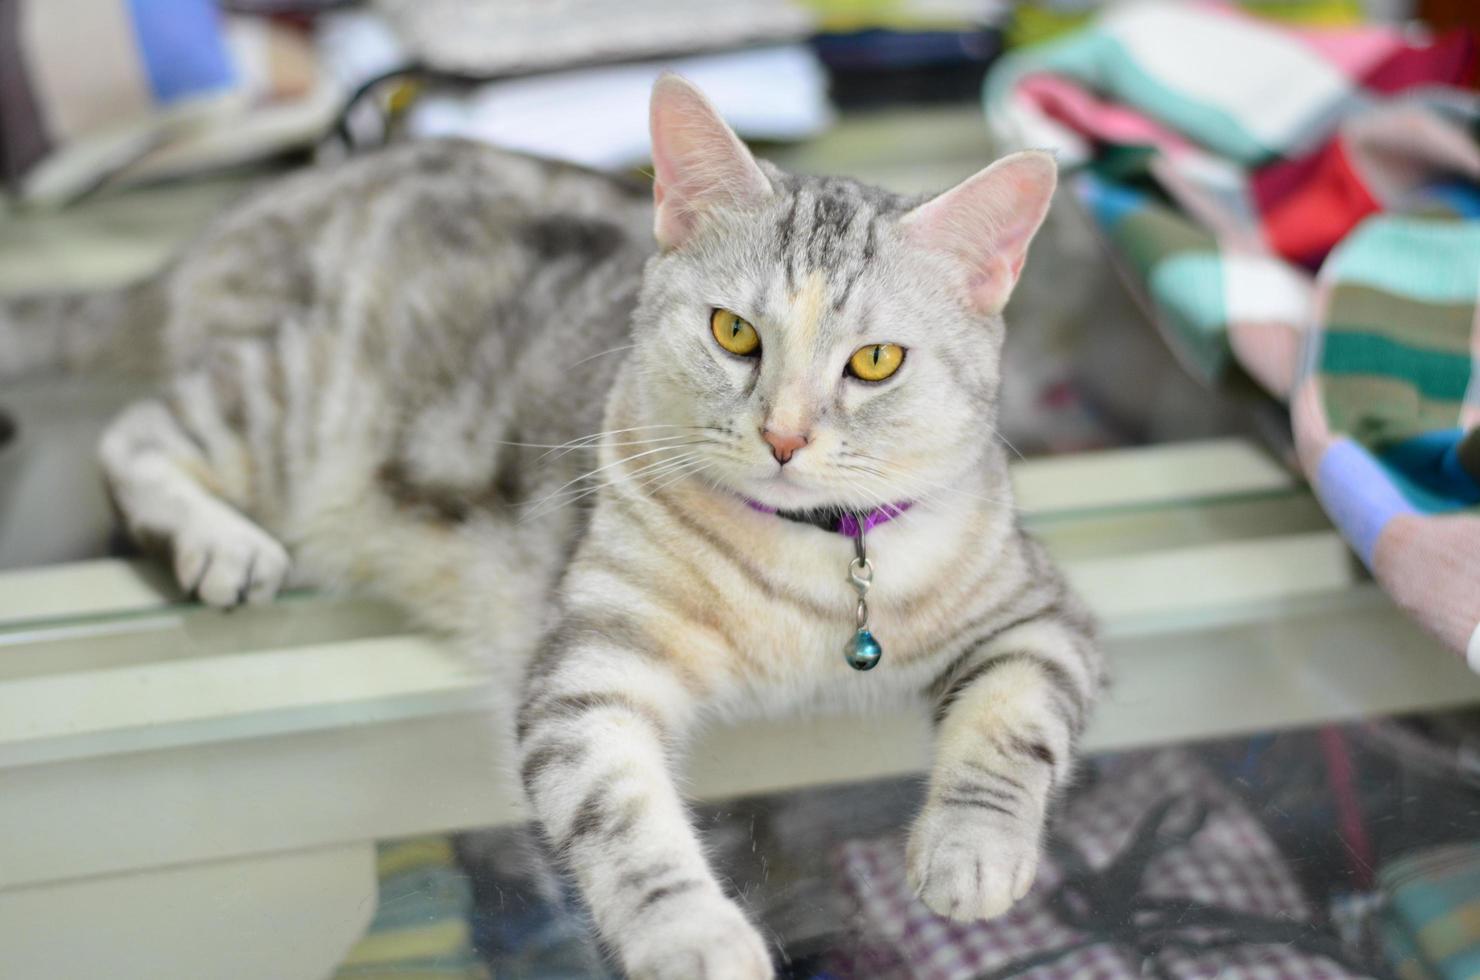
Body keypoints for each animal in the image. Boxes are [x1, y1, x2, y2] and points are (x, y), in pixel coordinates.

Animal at [0, 72, 1101, 977]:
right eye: (733, 332)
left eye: (875, 361)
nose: (784, 435)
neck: (804, 562)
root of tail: (225, 228)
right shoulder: (590, 671)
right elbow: (628, 827)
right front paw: (694, 936)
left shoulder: (1042, 616)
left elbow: (1010, 729)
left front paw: (969, 857)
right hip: (287, 404)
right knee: (137, 432)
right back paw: (221, 544)